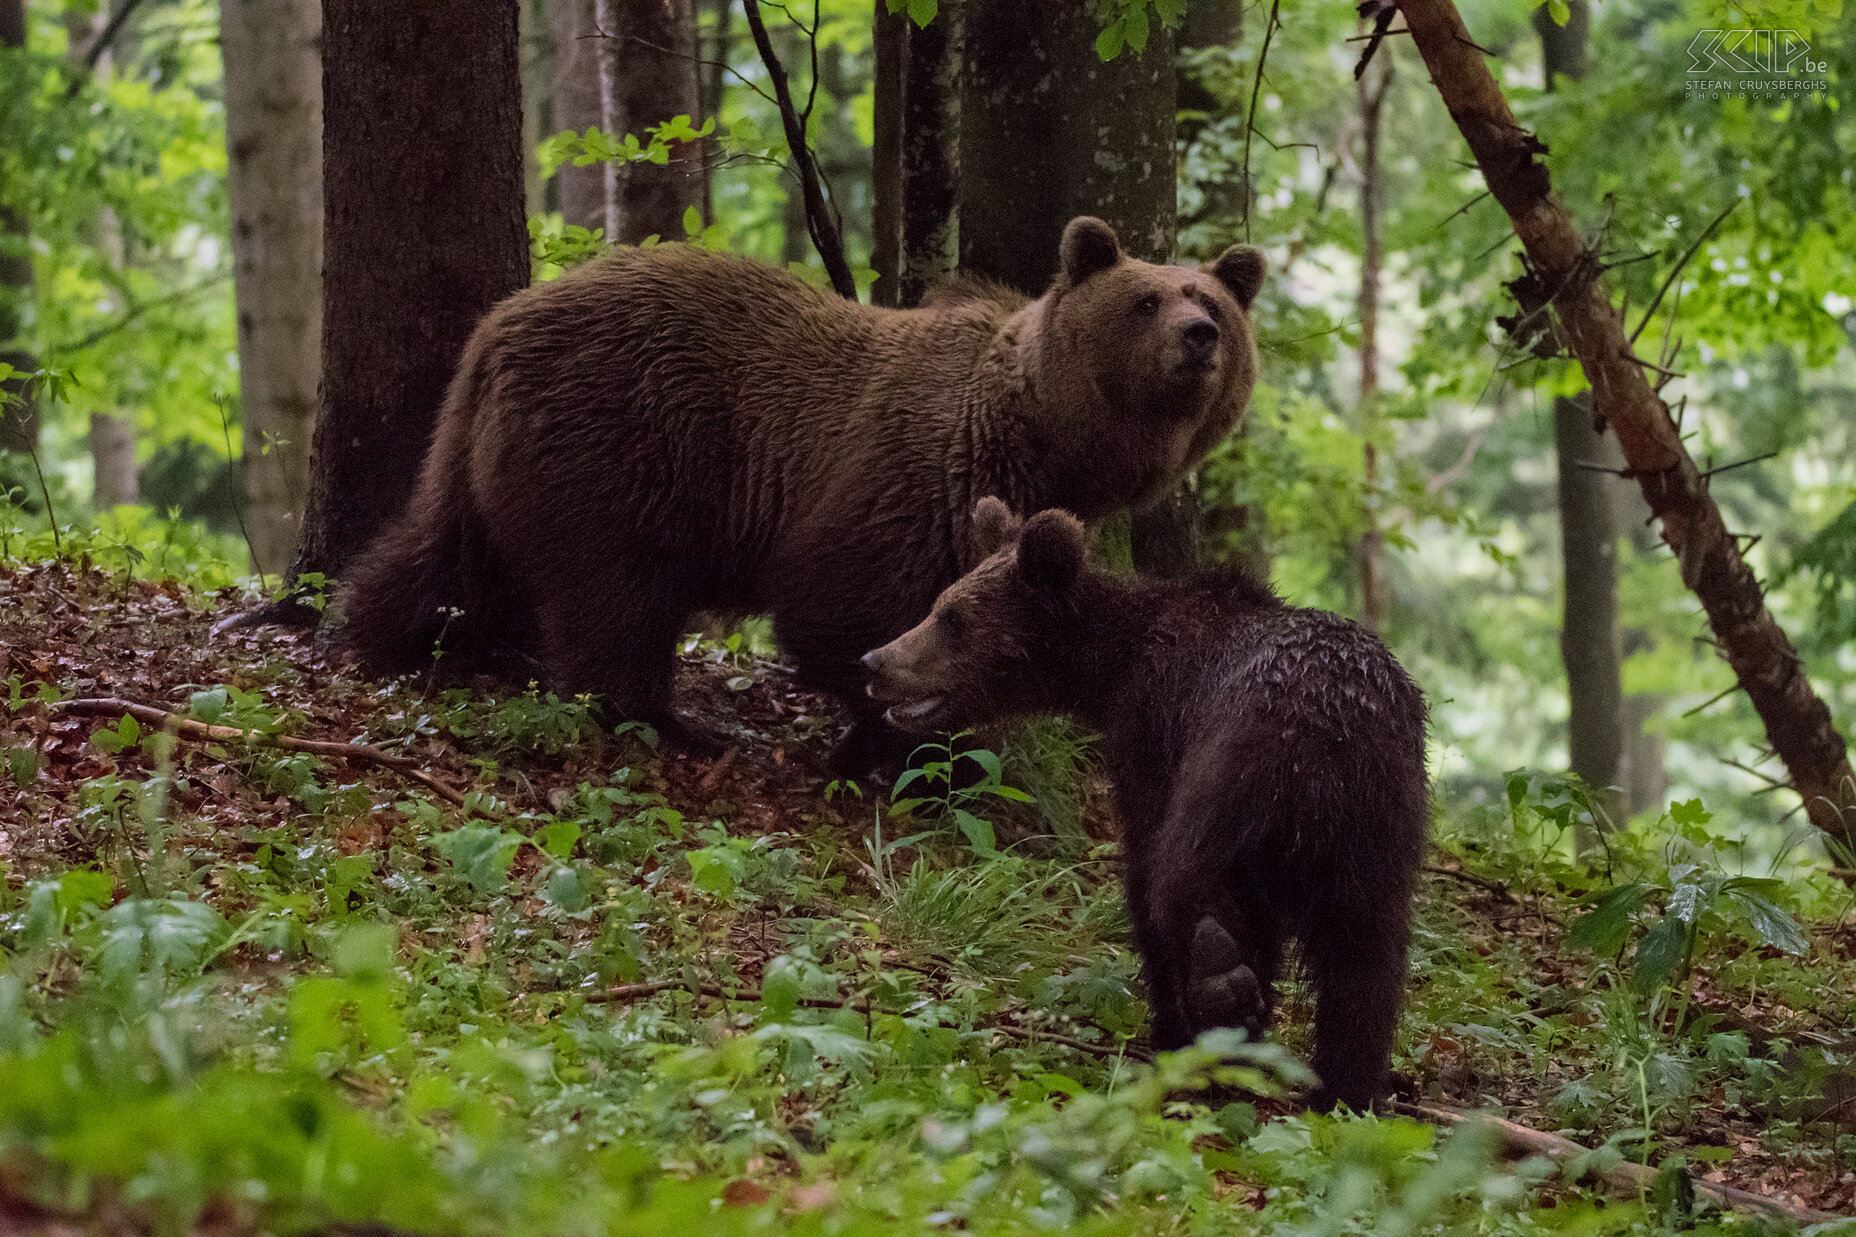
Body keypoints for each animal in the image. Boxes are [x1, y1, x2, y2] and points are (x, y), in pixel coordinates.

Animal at [337, 216, 1262, 765]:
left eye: (1211, 298)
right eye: (1145, 300)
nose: (1199, 336)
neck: (1036, 435)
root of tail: (498, 324)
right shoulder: (908, 476)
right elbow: (841, 610)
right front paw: (907, 741)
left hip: (485, 455)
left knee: (446, 556)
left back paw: (396, 635)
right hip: (622, 446)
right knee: (615, 597)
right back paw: (669, 720)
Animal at [861, 501, 1425, 1106]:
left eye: (952, 618)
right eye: (939, 606)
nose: (875, 661)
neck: (1114, 669)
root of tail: (1327, 736)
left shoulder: (1151, 733)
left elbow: (1143, 863)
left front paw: (1169, 1030)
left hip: (1234, 770)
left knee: (1182, 883)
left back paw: (1219, 1007)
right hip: (1381, 821)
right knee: (1368, 959)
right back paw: (1346, 1088)